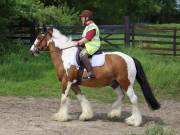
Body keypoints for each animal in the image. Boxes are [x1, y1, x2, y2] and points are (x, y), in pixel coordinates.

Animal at [29, 27, 160, 126]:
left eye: (39, 37)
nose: (32, 50)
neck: (65, 54)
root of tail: (130, 58)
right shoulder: (74, 83)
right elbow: (81, 98)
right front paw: (86, 115)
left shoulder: (67, 81)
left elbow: (63, 98)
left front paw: (60, 117)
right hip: (114, 83)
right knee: (121, 95)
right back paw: (114, 113)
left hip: (126, 83)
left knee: (133, 99)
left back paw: (134, 121)